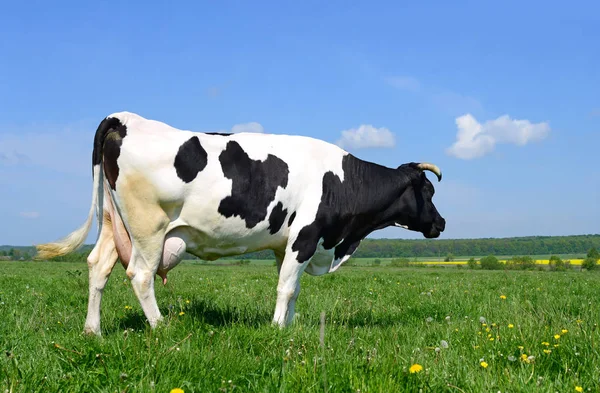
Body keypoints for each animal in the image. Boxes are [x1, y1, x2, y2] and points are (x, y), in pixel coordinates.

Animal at [34, 110, 446, 334]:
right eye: (428, 190)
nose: (441, 223)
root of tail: (126, 118)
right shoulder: (306, 236)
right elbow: (286, 288)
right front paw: (277, 329)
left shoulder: (286, 244)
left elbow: (292, 288)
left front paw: (288, 326)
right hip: (148, 227)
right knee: (139, 274)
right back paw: (162, 327)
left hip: (112, 221)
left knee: (98, 266)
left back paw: (93, 331)